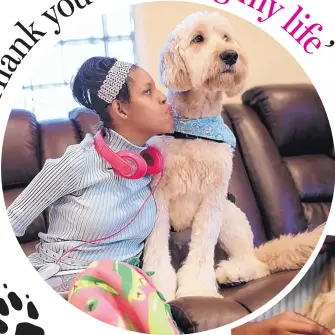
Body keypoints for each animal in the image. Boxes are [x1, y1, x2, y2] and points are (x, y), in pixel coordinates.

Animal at [142, 12, 326, 302]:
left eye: (226, 38)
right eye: (198, 38)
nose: (231, 55)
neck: (195, 128)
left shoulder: (212, 199)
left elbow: (202, 250)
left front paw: (197, 290)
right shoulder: (158, 197)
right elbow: (157, 247)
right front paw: (158, 285)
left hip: (230, 217)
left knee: (255, 264)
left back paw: (233, 273)